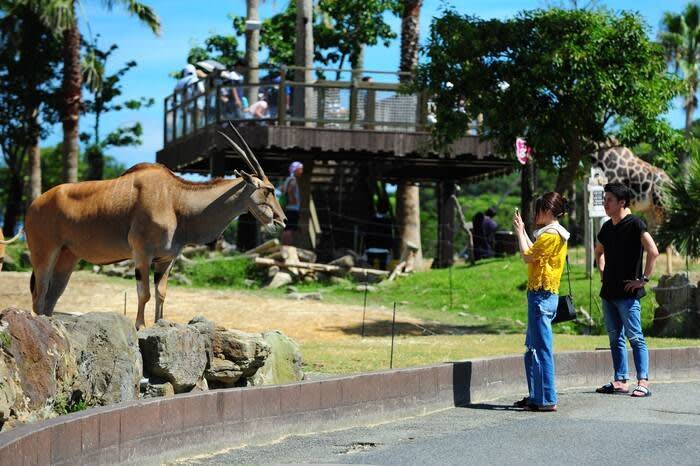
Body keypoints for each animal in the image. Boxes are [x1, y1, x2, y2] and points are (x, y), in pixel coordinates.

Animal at [23, 122, 286, 329]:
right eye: (269, 190)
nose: (281, 221)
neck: (176, 198)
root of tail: (34, 205)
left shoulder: (165, 259)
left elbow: (161, 293)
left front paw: (160, 323)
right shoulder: (142, 254)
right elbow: (145, 293)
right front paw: (140, 325)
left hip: (67, 257)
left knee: (51, 296)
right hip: (45, 253)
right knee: (40, 293)